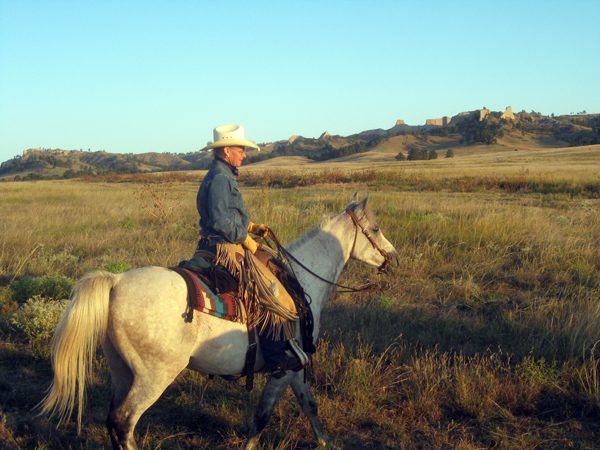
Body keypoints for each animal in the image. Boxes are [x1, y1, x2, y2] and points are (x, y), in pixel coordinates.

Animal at [41, 194, 398, 450]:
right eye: (376, 229)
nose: (393, 258)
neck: (300, 279)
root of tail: (115, 281)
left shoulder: (296, 368)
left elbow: (309, 405)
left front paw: (325, 442)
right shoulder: (283, 368)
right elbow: (262, 416)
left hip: (120, 370)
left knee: (113, 421)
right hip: (153, 377)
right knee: (124, 422)